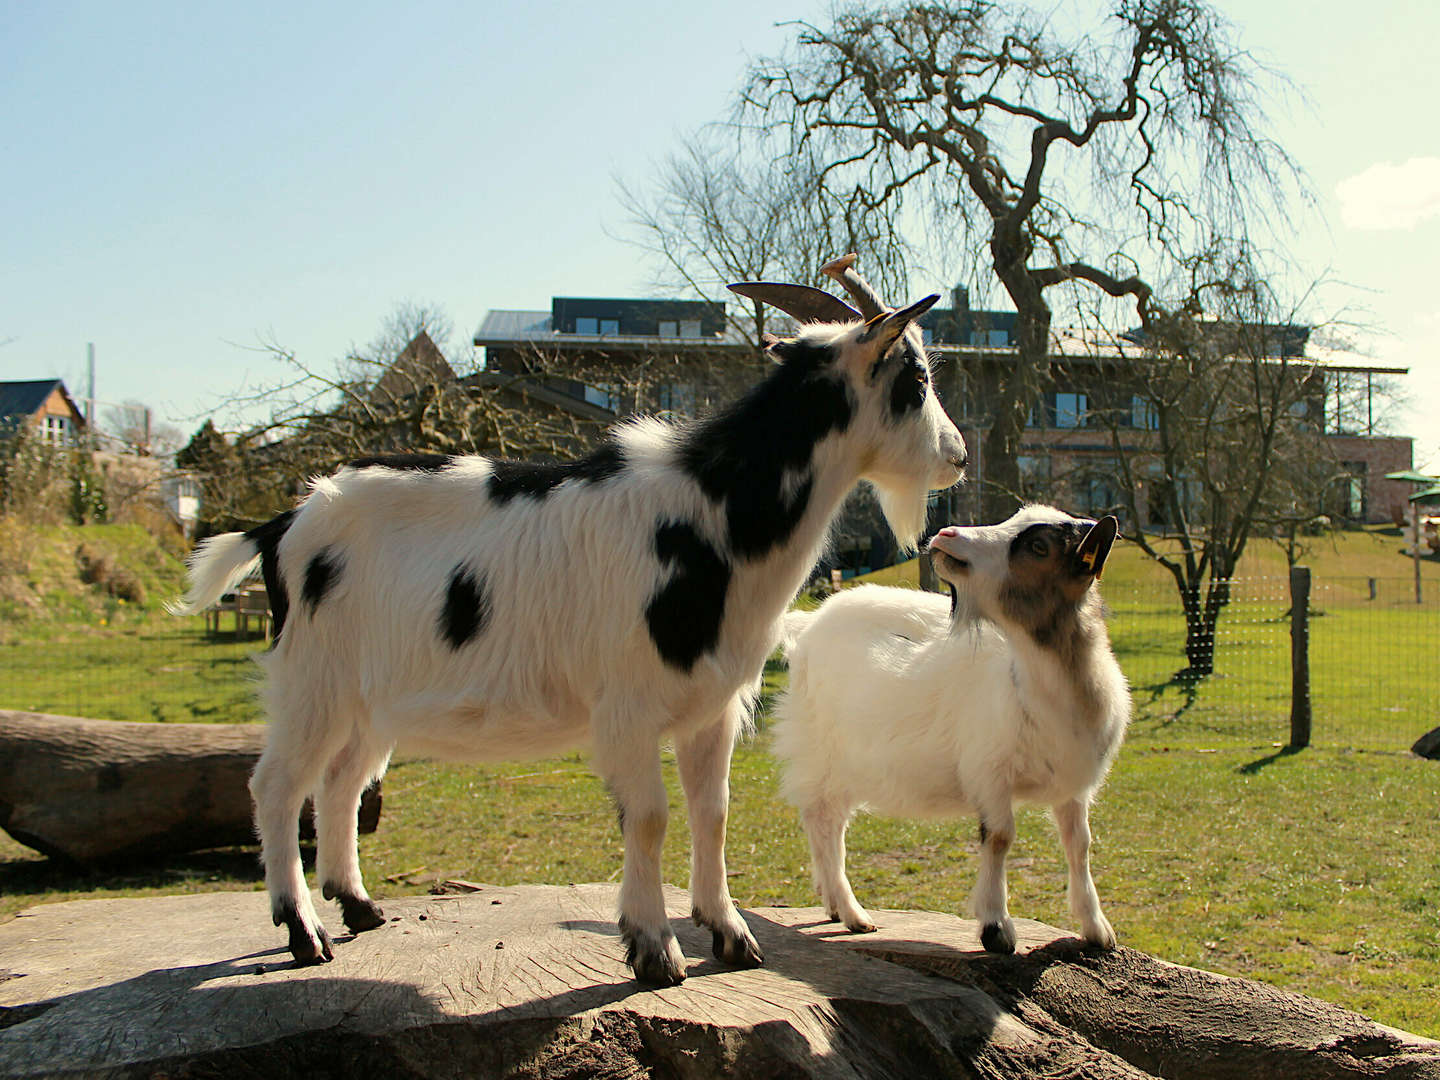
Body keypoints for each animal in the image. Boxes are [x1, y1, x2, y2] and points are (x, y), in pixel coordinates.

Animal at [177, 257, 967, 984]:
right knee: (279, 787)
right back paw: (303, 932)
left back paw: (360, 908)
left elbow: (712, 814)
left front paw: (730, 934)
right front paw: (654, 949)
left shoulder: (712, 705)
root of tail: (285, 523)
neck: (713, 513)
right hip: (312, 679)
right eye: (915, 378)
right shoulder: (628, 705)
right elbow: (648, 817)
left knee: (342, 782)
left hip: (368, 699)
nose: (958, 457)